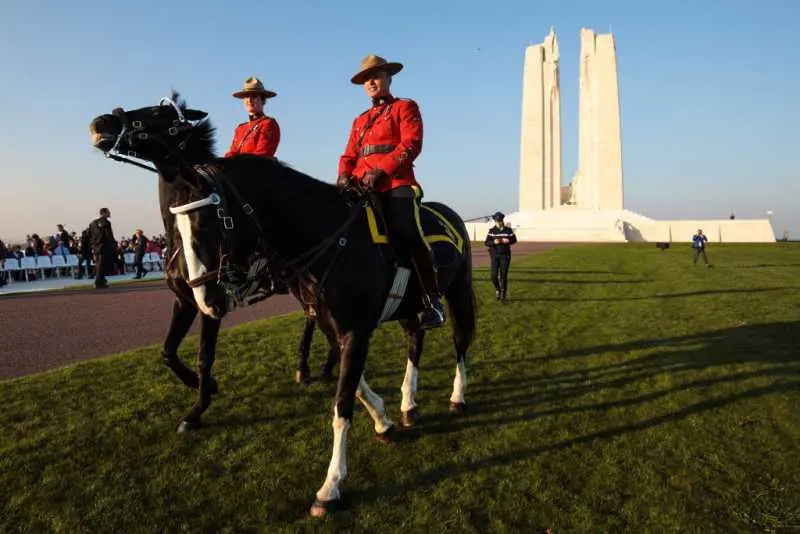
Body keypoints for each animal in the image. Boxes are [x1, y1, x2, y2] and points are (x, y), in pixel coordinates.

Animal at [89, 93, 476, 520]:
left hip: (457, 292)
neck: (331, 234)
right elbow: (354, 385)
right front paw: (383, 418)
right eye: (183, 227)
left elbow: (342, 402)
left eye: (158, 114)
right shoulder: (324, 322)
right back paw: (406, 403)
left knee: (460, 342)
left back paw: (456, 397)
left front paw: (330, 486)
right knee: (414, 342)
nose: (101, 122)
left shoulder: (353, 329)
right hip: (406, 308)